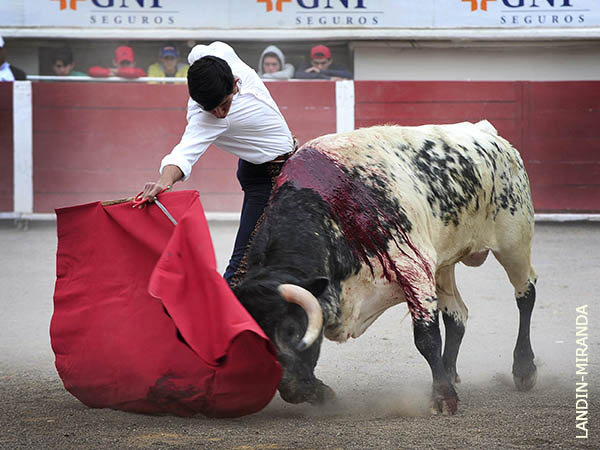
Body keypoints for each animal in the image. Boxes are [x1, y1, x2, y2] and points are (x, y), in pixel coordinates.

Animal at [232, 120, 536, 414]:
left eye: (293, 330)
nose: (291, 388)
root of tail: (486, 131)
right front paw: (322, 393)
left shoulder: (414, 267)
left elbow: (426, 337)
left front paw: (443, 397)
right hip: (444, 263)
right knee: (457, 315)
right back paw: (450, 371)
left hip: (513, 240)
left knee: (526, 294)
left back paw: (524, 369)